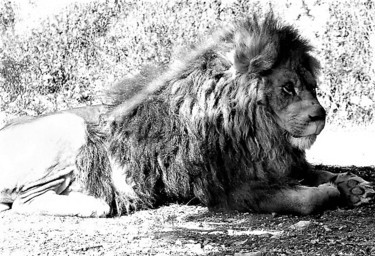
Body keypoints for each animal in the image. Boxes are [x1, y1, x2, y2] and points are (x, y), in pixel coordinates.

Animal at [0, 12, 375, 216]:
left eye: (312, 87)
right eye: (287, 88)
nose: (320, 115)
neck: (262, 133)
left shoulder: (280, 163)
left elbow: (319, 172)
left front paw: (353, 185)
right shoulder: (234, 189)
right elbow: (303, 199)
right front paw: (333, 193)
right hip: (70, 125)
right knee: (23, 202)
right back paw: (97, 202)